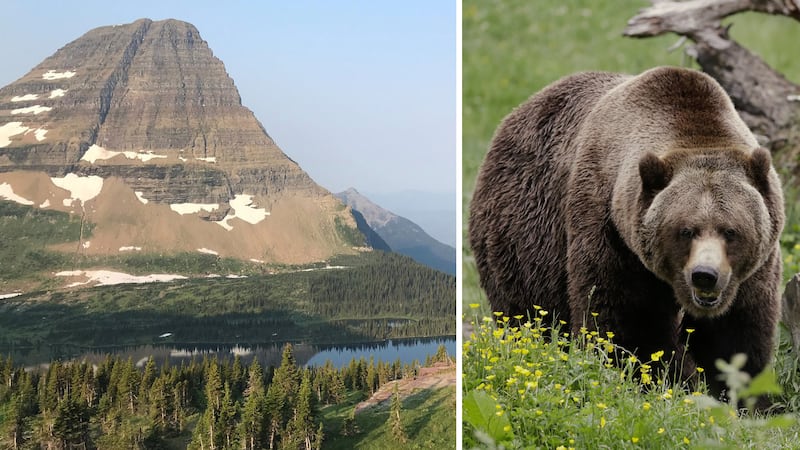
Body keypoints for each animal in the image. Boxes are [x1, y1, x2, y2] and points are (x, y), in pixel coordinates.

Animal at [468, 66, 784, 396]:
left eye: (730, 231)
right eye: (685, 230)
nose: (705, 275)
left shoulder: (753, 270)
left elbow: (736, 335)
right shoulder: (611, 231)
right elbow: (627, 321)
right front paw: (657, 379)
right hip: (524, 238)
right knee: (527, 311)